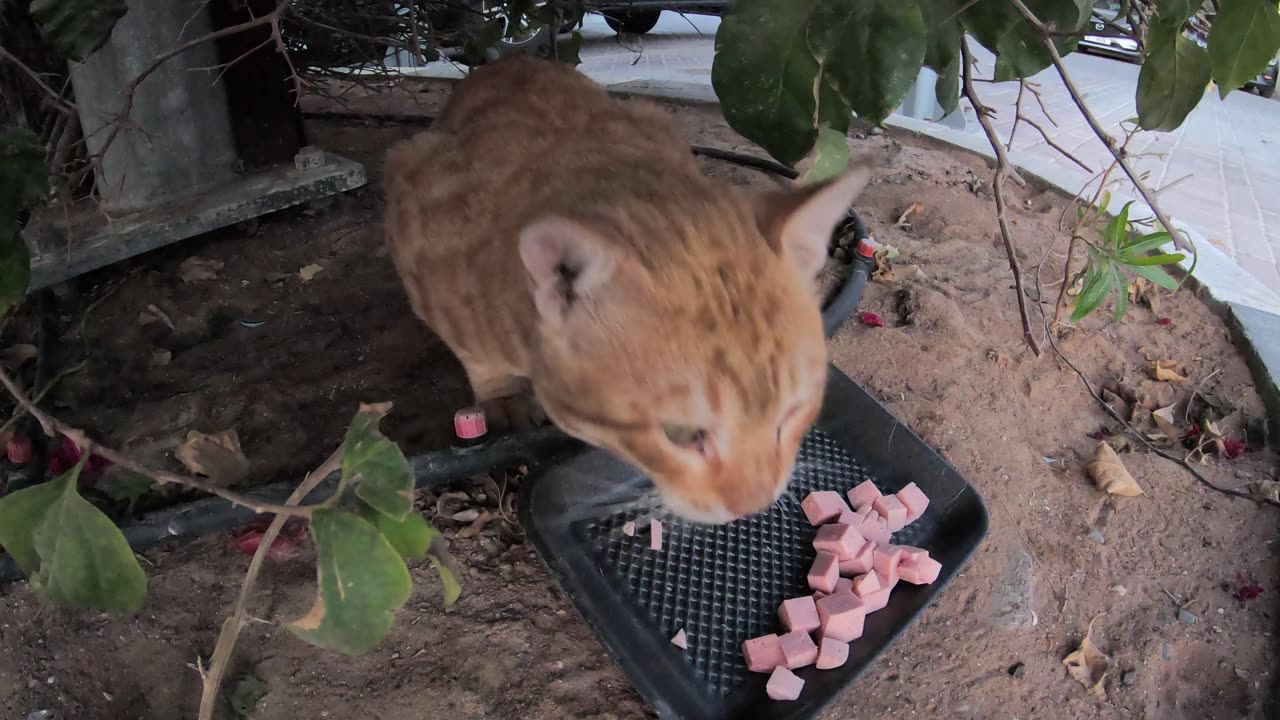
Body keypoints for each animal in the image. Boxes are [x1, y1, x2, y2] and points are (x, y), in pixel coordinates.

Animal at [381, 57, 870, 520]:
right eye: (680, 435)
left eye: (792, 411)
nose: (752, 505)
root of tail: (508, 60)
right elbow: (477, 356)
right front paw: (503, 395)